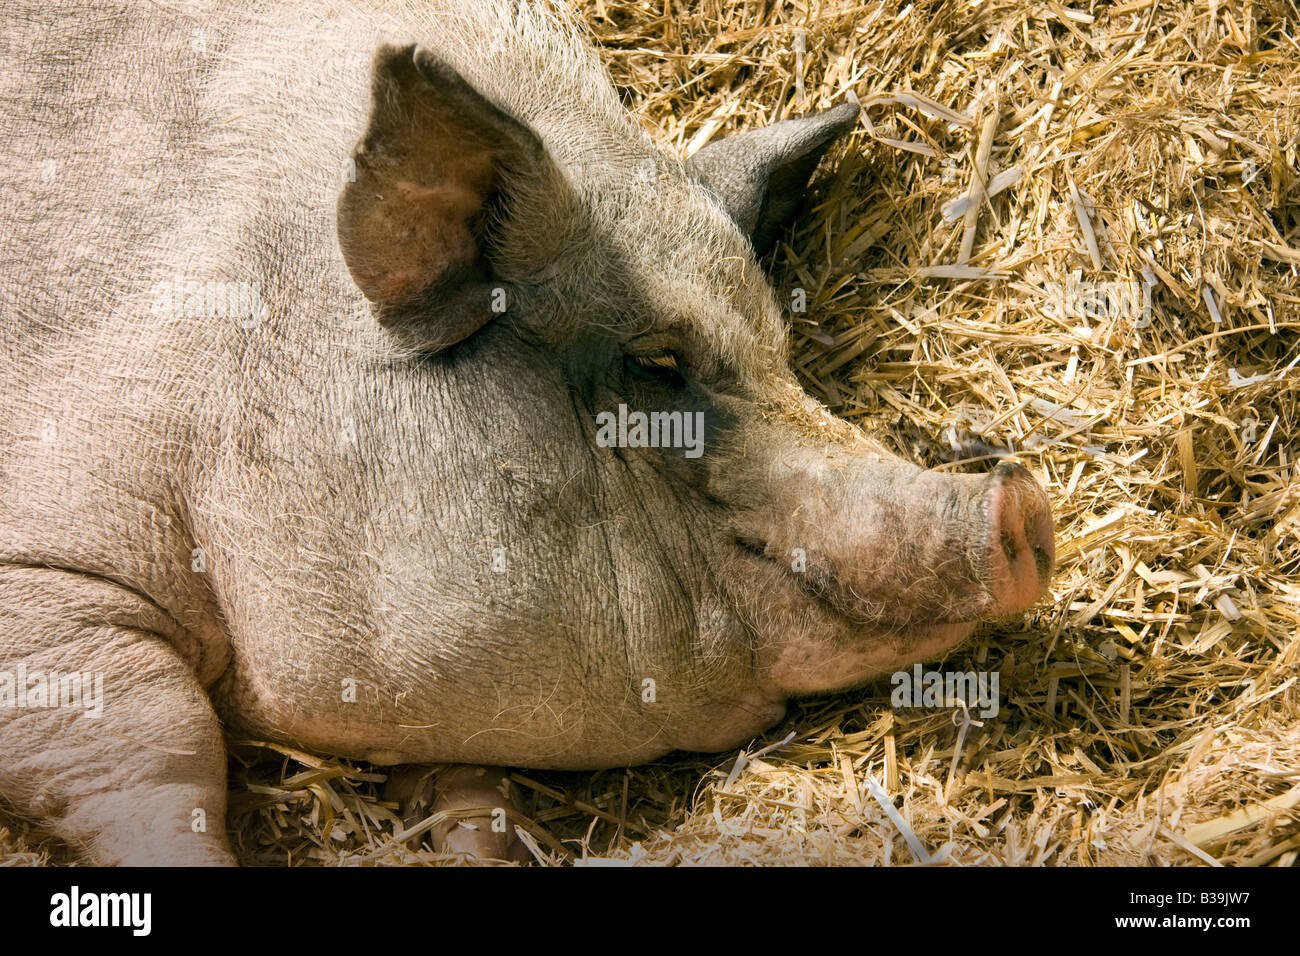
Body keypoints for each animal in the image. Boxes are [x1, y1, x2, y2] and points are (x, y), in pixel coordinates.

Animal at [0, 1, 1050, 868]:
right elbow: (160, 746)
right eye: (655, 363)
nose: (1020, 501)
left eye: (782, 352)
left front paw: (477, 837)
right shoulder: (42, 569)